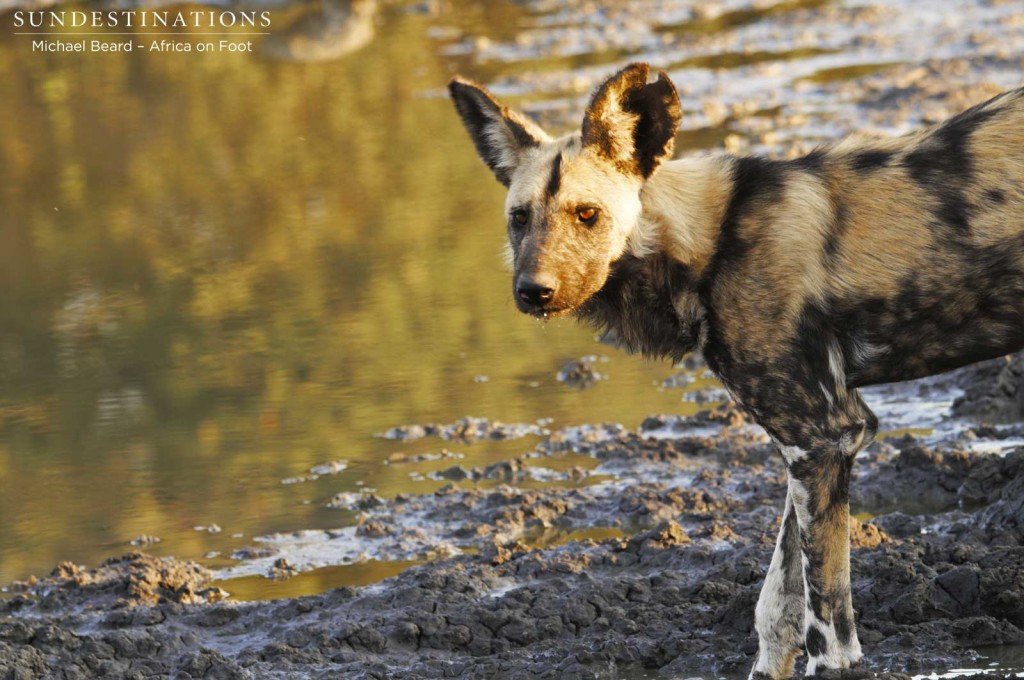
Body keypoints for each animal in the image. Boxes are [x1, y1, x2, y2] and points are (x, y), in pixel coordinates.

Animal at [452, 61, 1024, 675]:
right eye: (519, 219)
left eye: (588, 215)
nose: (533, 291)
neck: (707, 244)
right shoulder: (815, 445)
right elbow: (778, 604)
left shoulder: (821, 438)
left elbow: (829, 635)